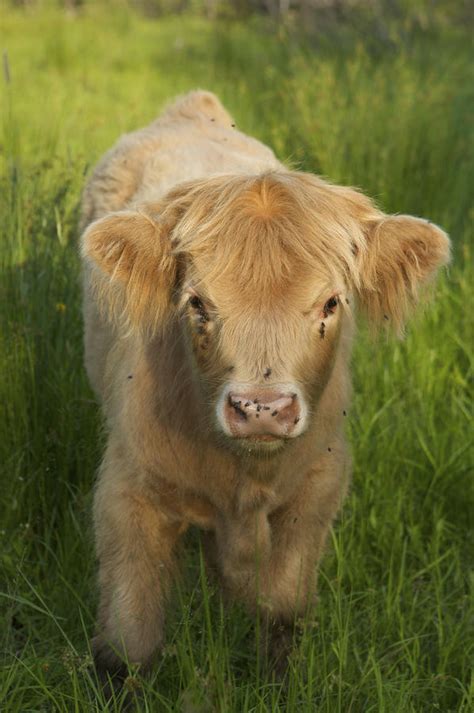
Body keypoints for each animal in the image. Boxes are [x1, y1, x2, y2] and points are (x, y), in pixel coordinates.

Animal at [79, 89, 450, 680]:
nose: (261, 408)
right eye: (197, 303)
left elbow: (283, 610)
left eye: (331, 303)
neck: (243, 479)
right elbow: (129, 637)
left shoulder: (319, 486)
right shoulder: (126, 491)